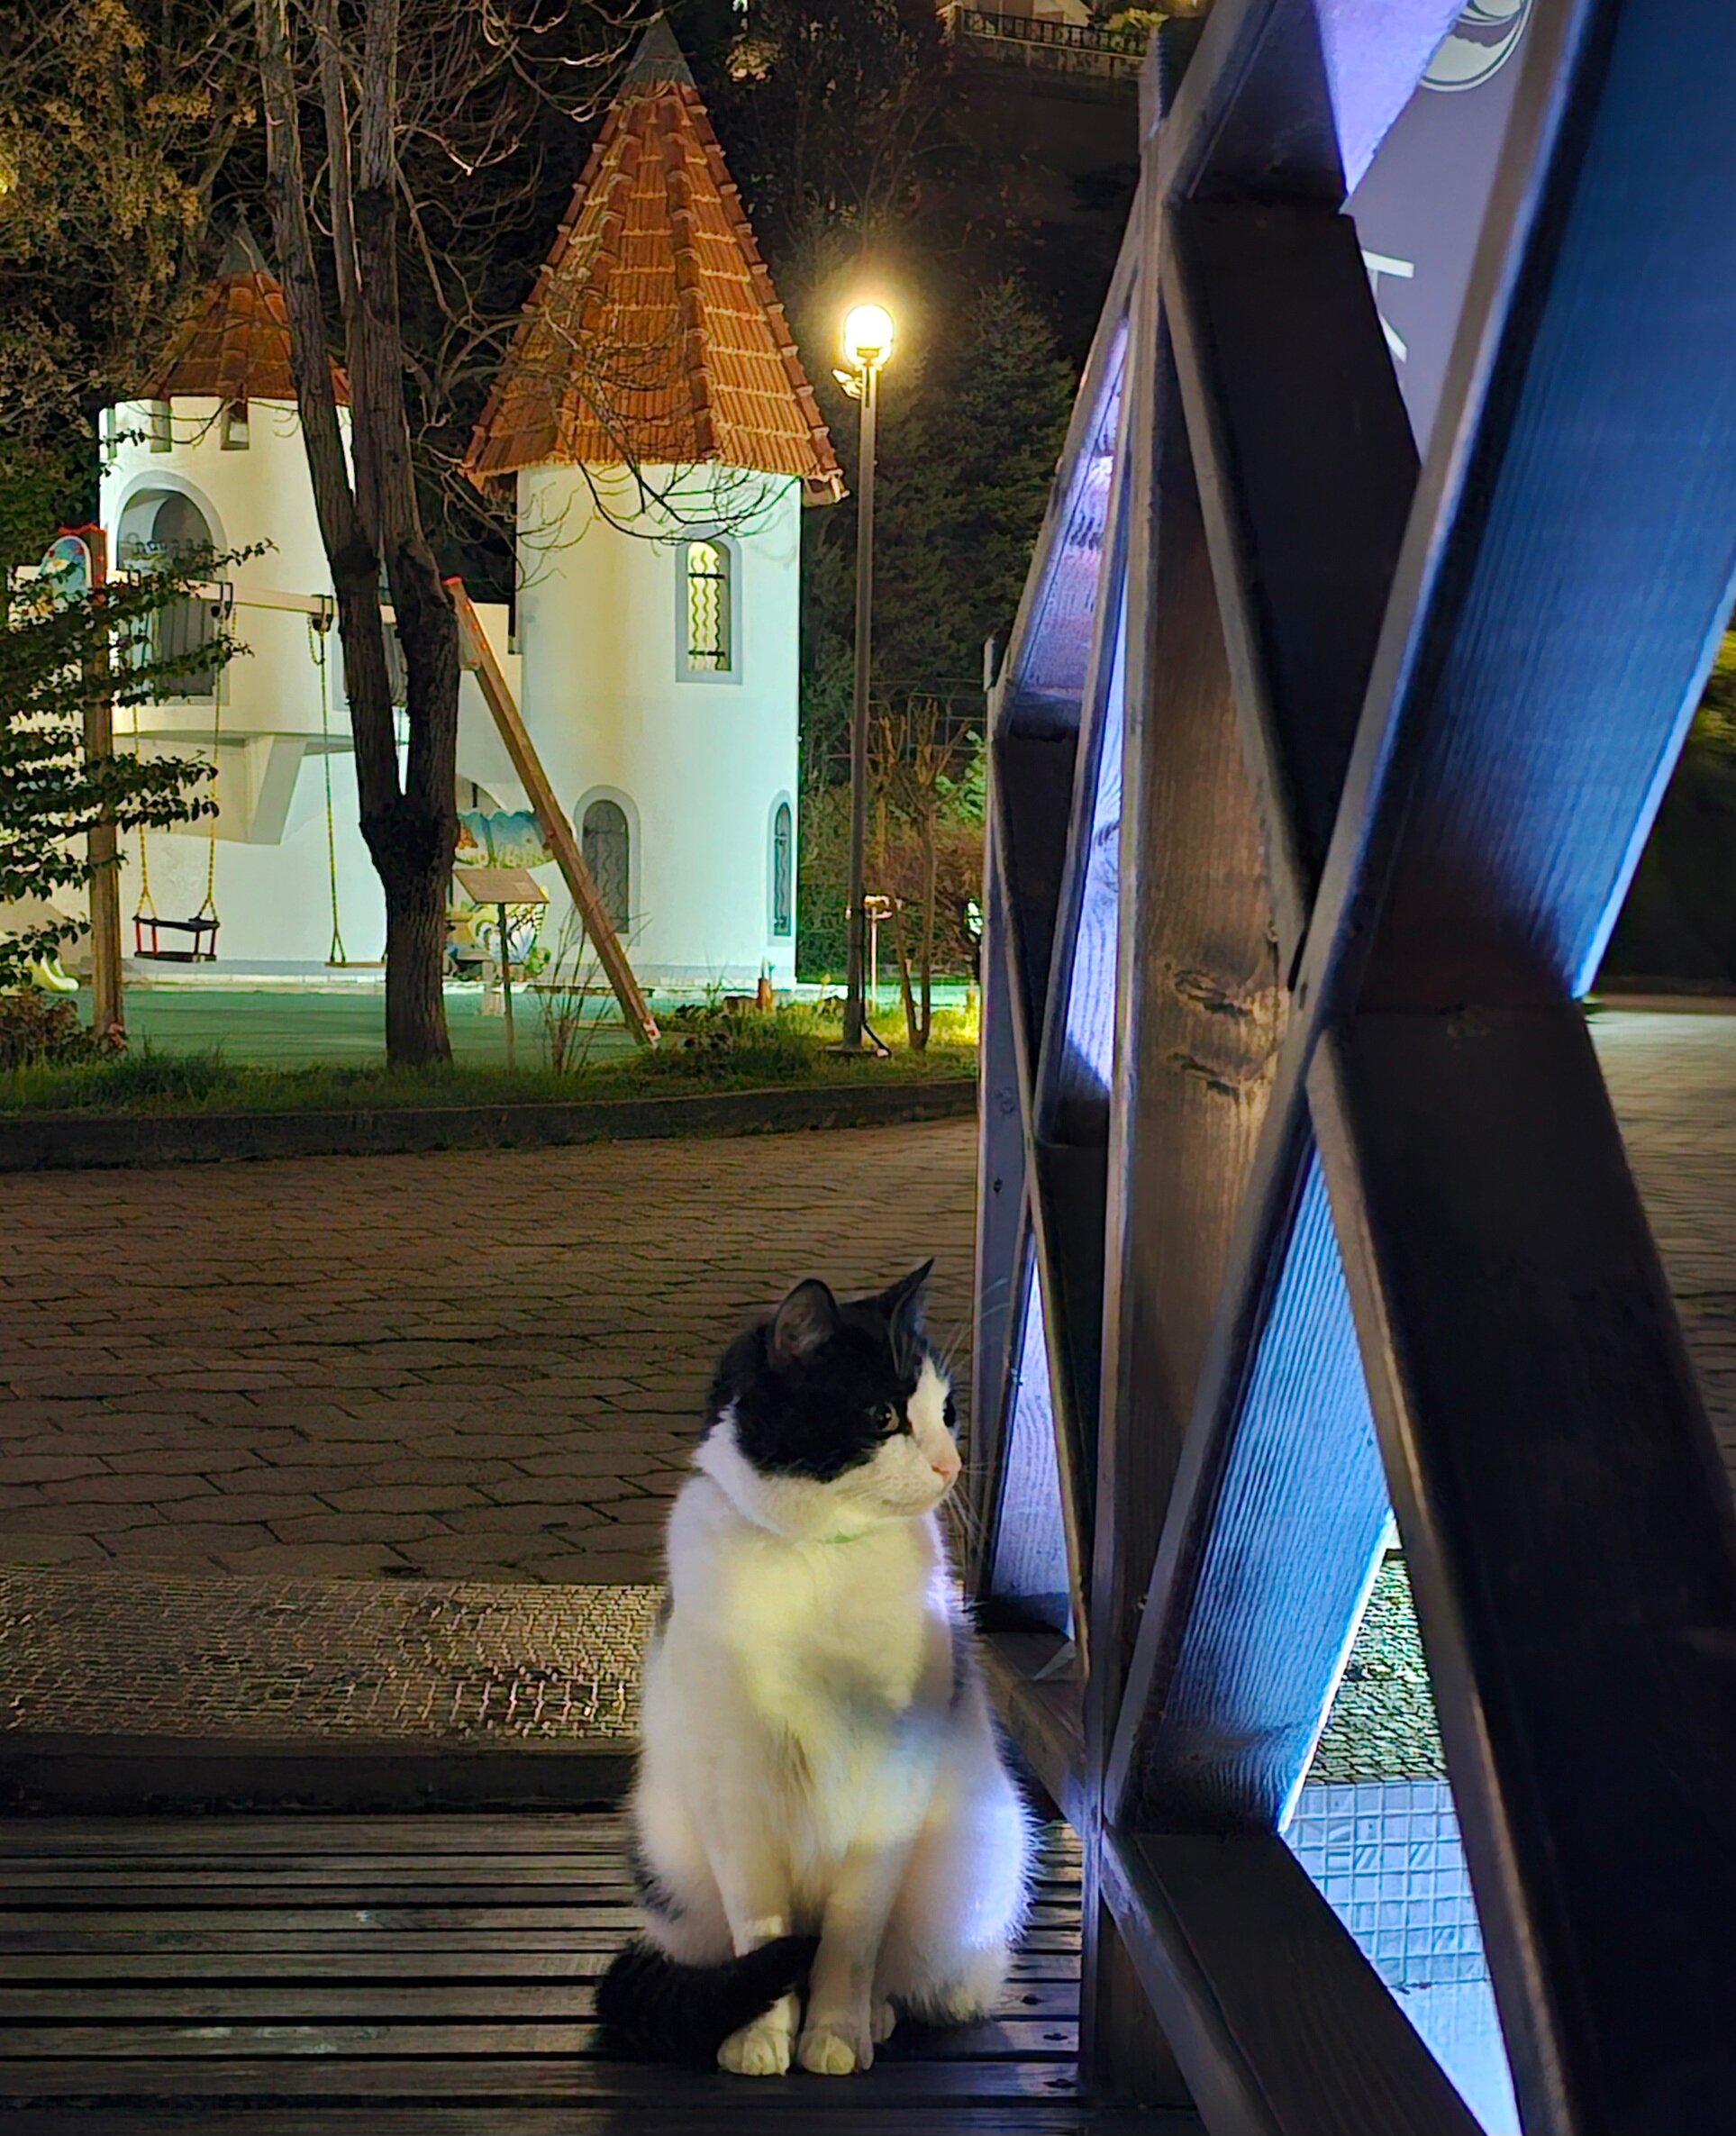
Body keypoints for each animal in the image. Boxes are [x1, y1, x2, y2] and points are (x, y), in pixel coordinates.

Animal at [596, 1261, 1033, 2077]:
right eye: (882, 1415)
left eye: (947, 1411)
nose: (950, 1463)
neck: (817, 1556)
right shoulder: (734, 1791)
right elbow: (761, 1933)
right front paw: (761, 2035)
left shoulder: (891, 1789)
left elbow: (849, 1939)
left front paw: (834, 2029)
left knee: (910, 1970)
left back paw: (880, 2015)